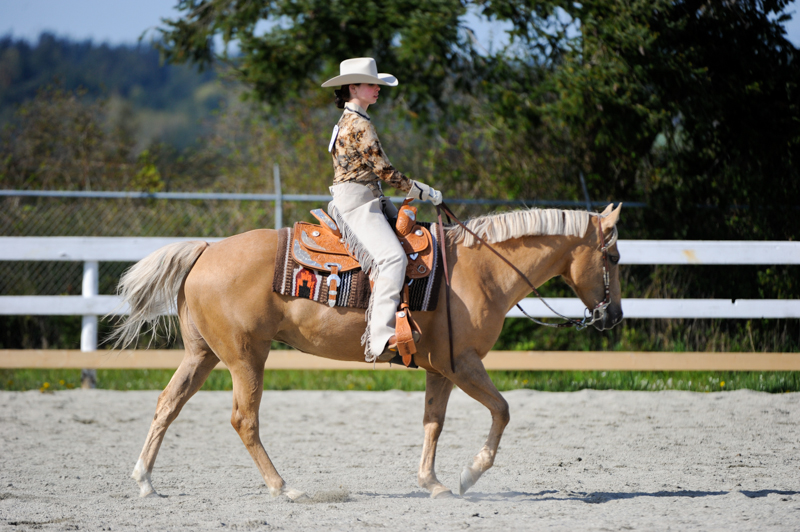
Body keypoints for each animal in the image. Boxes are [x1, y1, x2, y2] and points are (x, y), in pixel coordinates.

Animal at [113, 203, 623, 500]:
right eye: (614, 257)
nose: (613, 316)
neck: (479, 270)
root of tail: (205, 251)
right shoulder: (463, 364)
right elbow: (502, 409)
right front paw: (469, 475)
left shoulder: (440, 369)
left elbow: (433, 423)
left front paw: (432, 483)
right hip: (246, 357)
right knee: (244, 419)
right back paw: (283, 487)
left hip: (202, 355)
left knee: (168, 404)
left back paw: (144, 481)